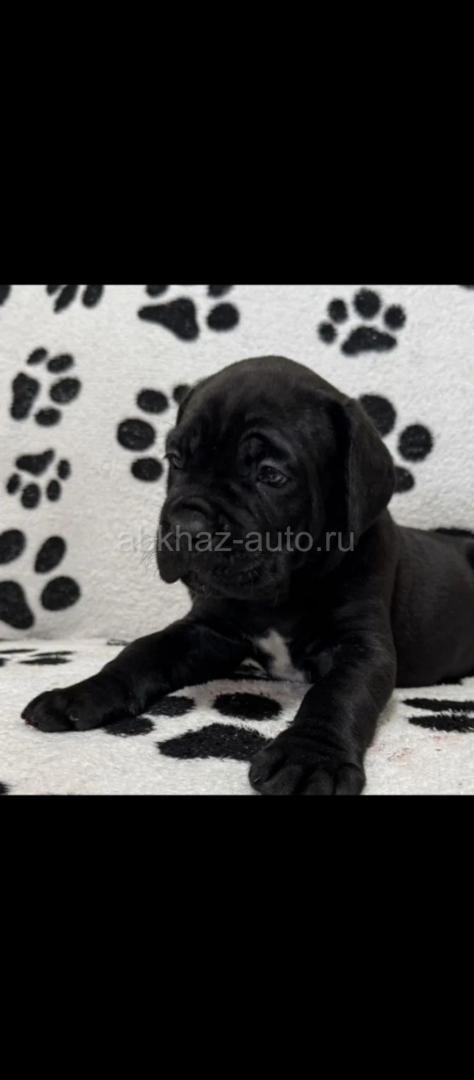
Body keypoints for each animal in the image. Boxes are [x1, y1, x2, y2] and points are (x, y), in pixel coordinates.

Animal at [23, 357, 474, 795]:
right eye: (175, 459)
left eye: (271, 474)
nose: (186, 526)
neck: (281, 597)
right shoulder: (208, 629)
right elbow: (143, 651)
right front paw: (82, 693)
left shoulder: (361, 646)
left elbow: (337, 694)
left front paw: (310, 758)